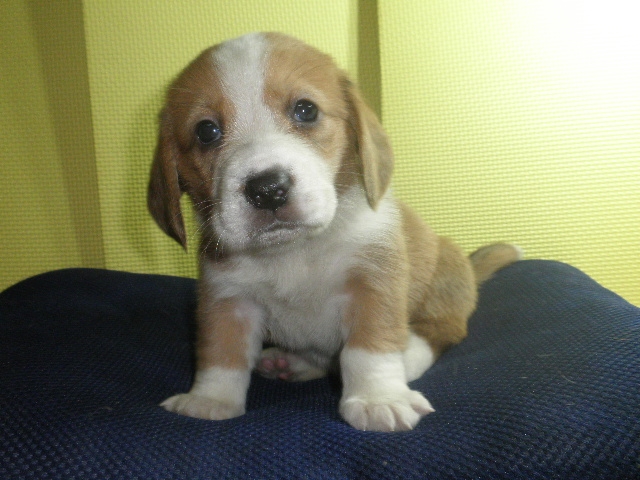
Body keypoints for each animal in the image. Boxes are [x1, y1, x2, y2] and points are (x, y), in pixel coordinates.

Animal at [148, 32, 521, 432]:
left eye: (306, 110)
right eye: (206, 131)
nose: (268, 189)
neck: (294, 252)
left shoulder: (373, 284)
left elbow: (369, 349)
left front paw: (378, 399)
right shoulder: (228, 299)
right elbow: (221, 354)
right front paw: (209, 400)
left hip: (444, 283)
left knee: (441, 332)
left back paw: (408, 358)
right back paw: (290, 361)